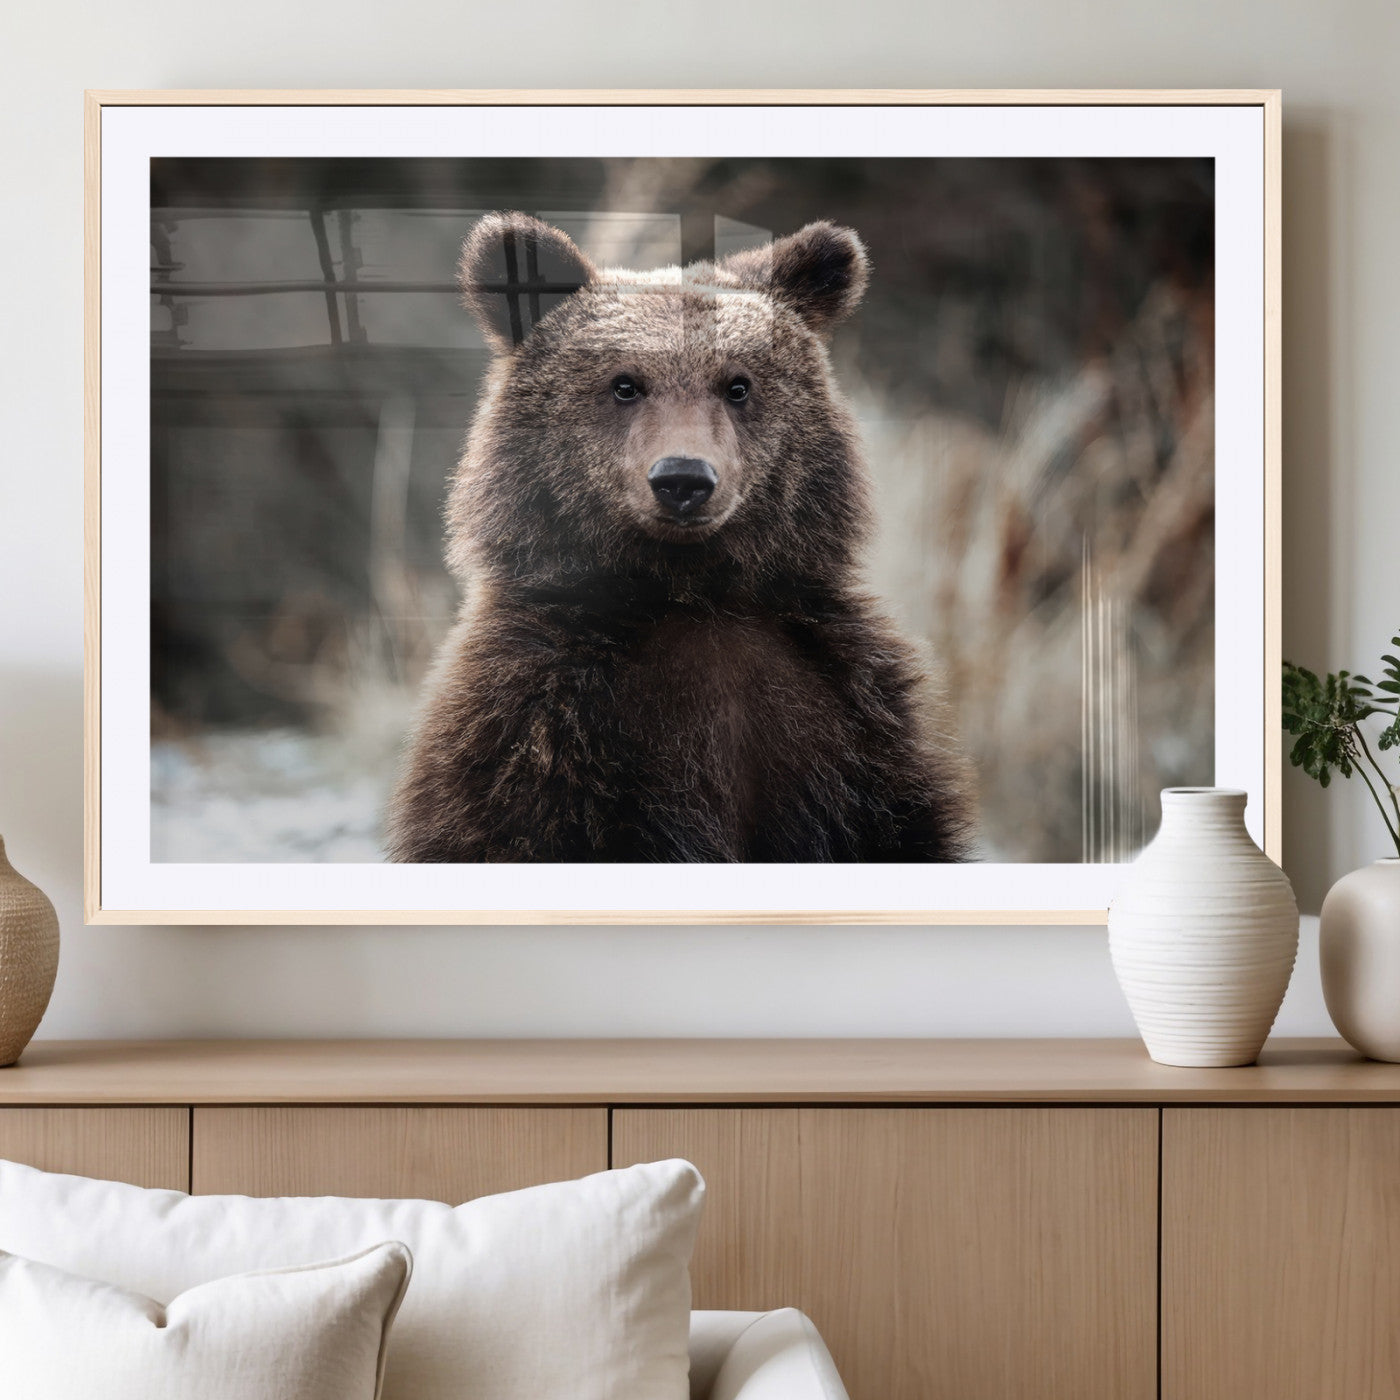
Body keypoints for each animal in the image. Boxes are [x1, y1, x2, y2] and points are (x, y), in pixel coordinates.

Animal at [386, 212, 973, 863]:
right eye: (625, 384)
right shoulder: (536, 727)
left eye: (738, 385)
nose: (683, 479)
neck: (691, 593)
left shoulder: (850, 722)